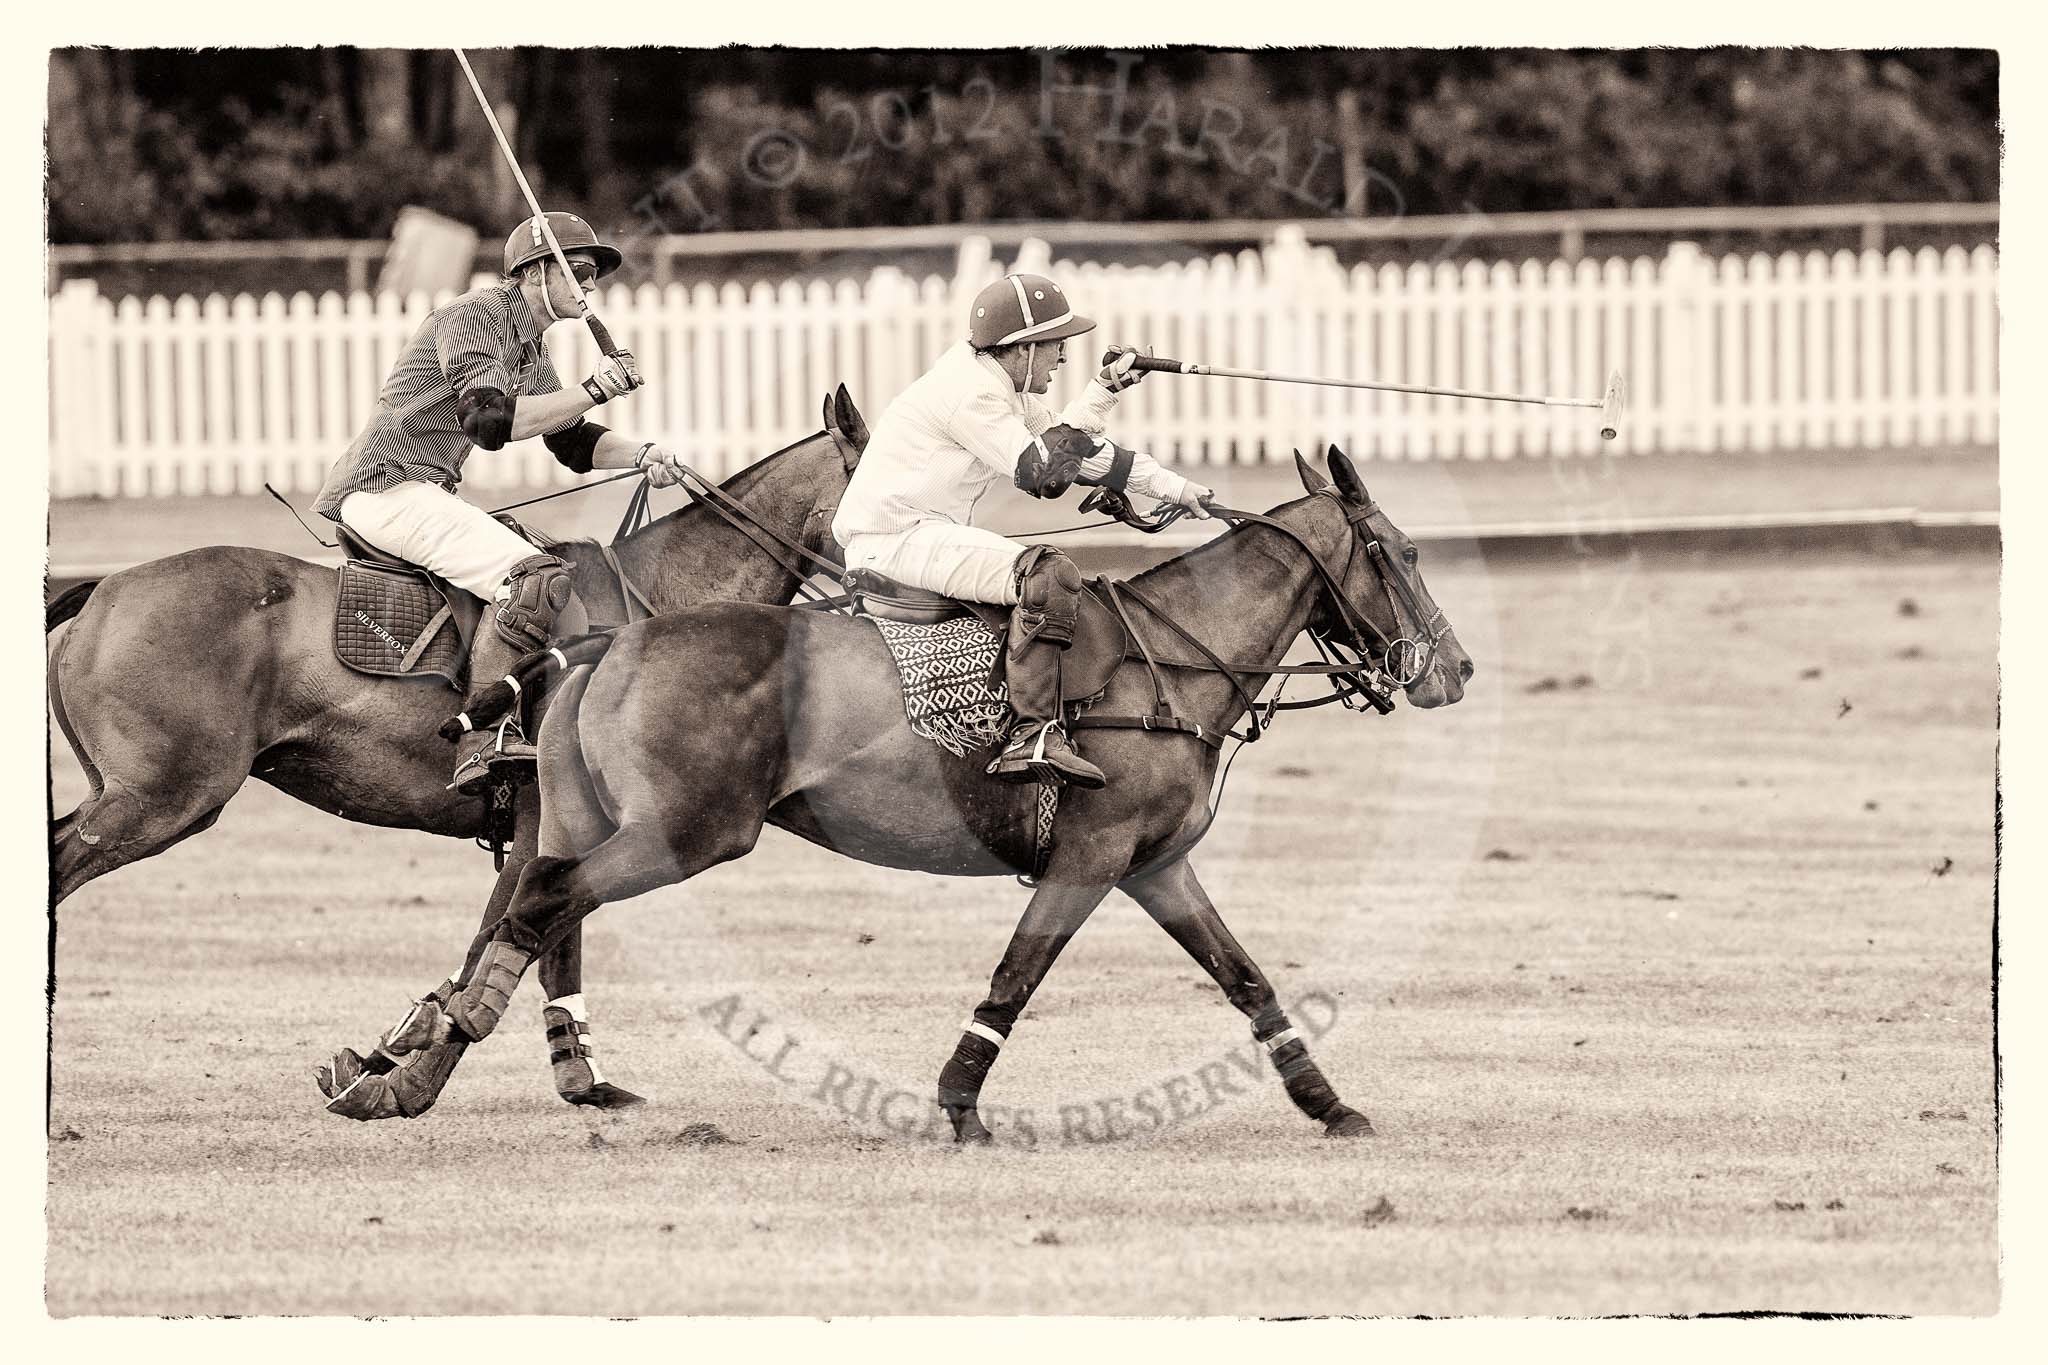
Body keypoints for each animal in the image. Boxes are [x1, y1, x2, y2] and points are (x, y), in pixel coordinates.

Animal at [48, 386, 864, 1113]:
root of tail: (100, 592)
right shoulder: (552, 820)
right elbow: (521, 933)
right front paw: (409, 1073)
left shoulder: (557, 825)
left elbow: (530, 937)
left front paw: (442, 1063)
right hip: (167, 795)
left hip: (138, 794)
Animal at [348, 444, 1474, 1137]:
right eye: (1403, 552)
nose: (1453, 671)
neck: (1172, 662)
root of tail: (599, 643)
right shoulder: (1091, 855)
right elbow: (1016, 977)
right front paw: (958, 1105)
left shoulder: (1156, 864)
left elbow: (1246, 979)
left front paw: (1329, 1104)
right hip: (686, 831)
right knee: (543, 903)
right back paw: (415, 1068)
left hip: (585, 817)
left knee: (524, 910)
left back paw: (401, 1072)